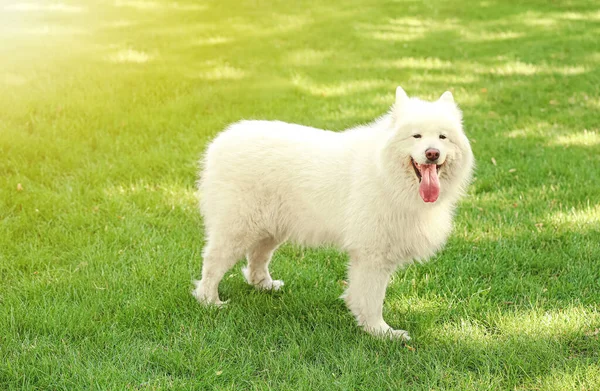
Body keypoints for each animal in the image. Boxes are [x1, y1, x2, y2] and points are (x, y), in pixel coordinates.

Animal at [192, 87, 474, 342]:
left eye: (443, 137)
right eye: (416, 136)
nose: (432, 153)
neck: (385, 173)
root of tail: (221, 140)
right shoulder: (372, 254)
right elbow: (372, 298)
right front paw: (380, 332)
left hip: (270, 228)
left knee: (256, 259)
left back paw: (264, 285)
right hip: (238, 228)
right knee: (213, 262)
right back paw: (209, 301)